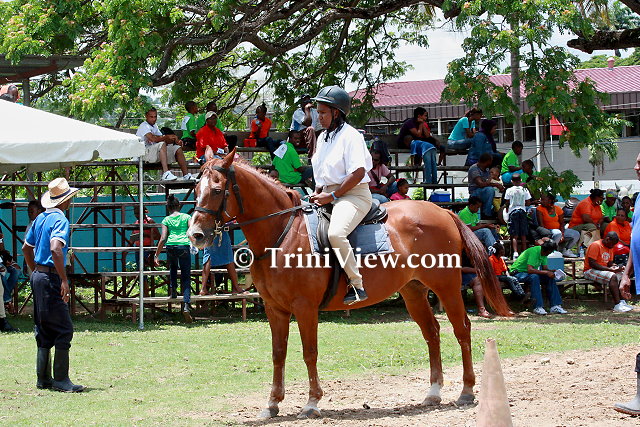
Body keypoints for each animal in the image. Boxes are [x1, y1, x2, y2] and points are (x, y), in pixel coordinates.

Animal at [188, 149, 511, 419]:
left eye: (217, 190)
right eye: (196, 190)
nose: (196, 235)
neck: (281, 234)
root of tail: (443, 211)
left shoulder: (304, 308)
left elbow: (309, 352)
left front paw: (312, 402)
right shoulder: (274, 308)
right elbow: (278, 353)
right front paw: (272, 404)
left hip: (446, 287)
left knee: (462, 329)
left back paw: (466, 391)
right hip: (413, 291)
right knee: (432, 333)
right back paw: (433, 392)